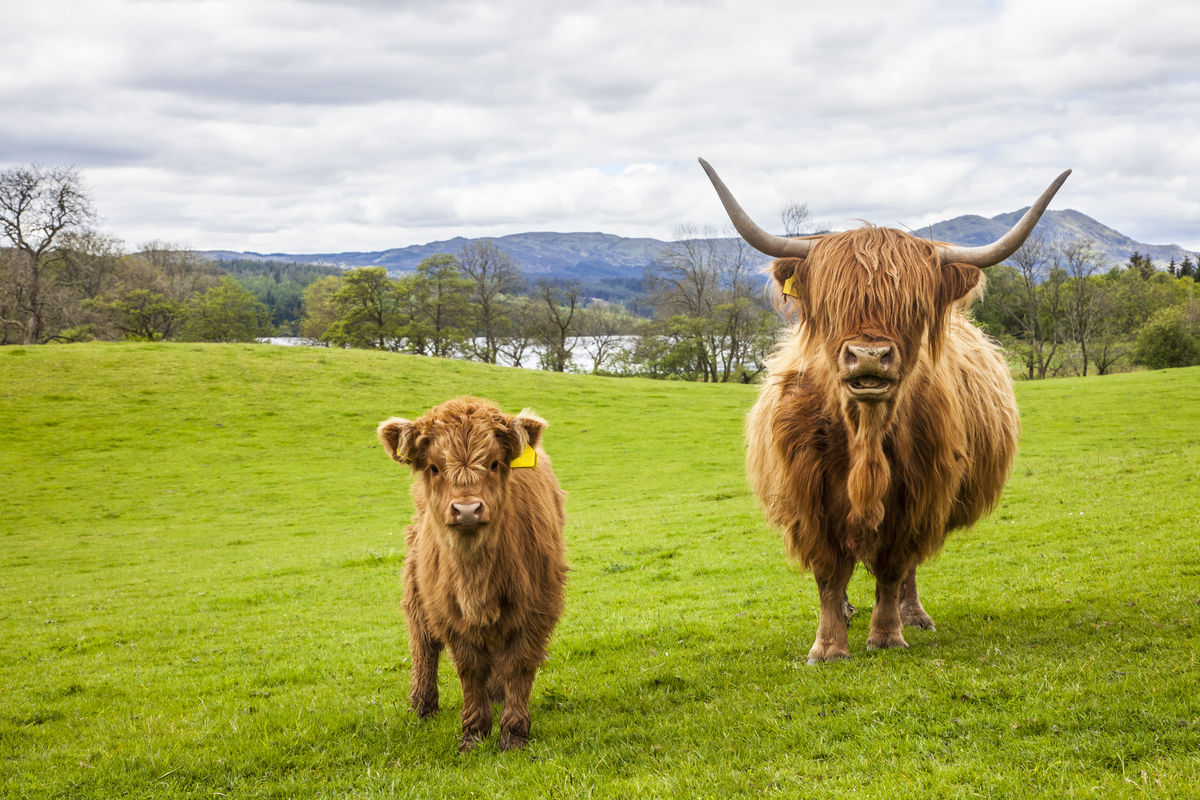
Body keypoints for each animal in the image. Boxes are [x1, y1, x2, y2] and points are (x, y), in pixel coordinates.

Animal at [376, 398, 568, 753]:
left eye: (493, 463)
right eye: (434, 467)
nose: (467, 510)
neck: (476, 580)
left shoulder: (537, 606)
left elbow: (518, 664)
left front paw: (514, 734)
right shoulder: (448, 613)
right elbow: (469, 669)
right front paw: (474, 734)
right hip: (415, 585)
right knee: (423, 643)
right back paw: (422, 704)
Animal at [696, 155, 1070, 662]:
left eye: (911, 307)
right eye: (832, 305)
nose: (870, 356)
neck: (864, 438)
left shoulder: (918, 494)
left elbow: (894, 566)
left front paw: (888, 635)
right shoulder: (809, 500)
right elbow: (829, 574)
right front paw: (828, 646)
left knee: (908, 569)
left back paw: (914, 616)